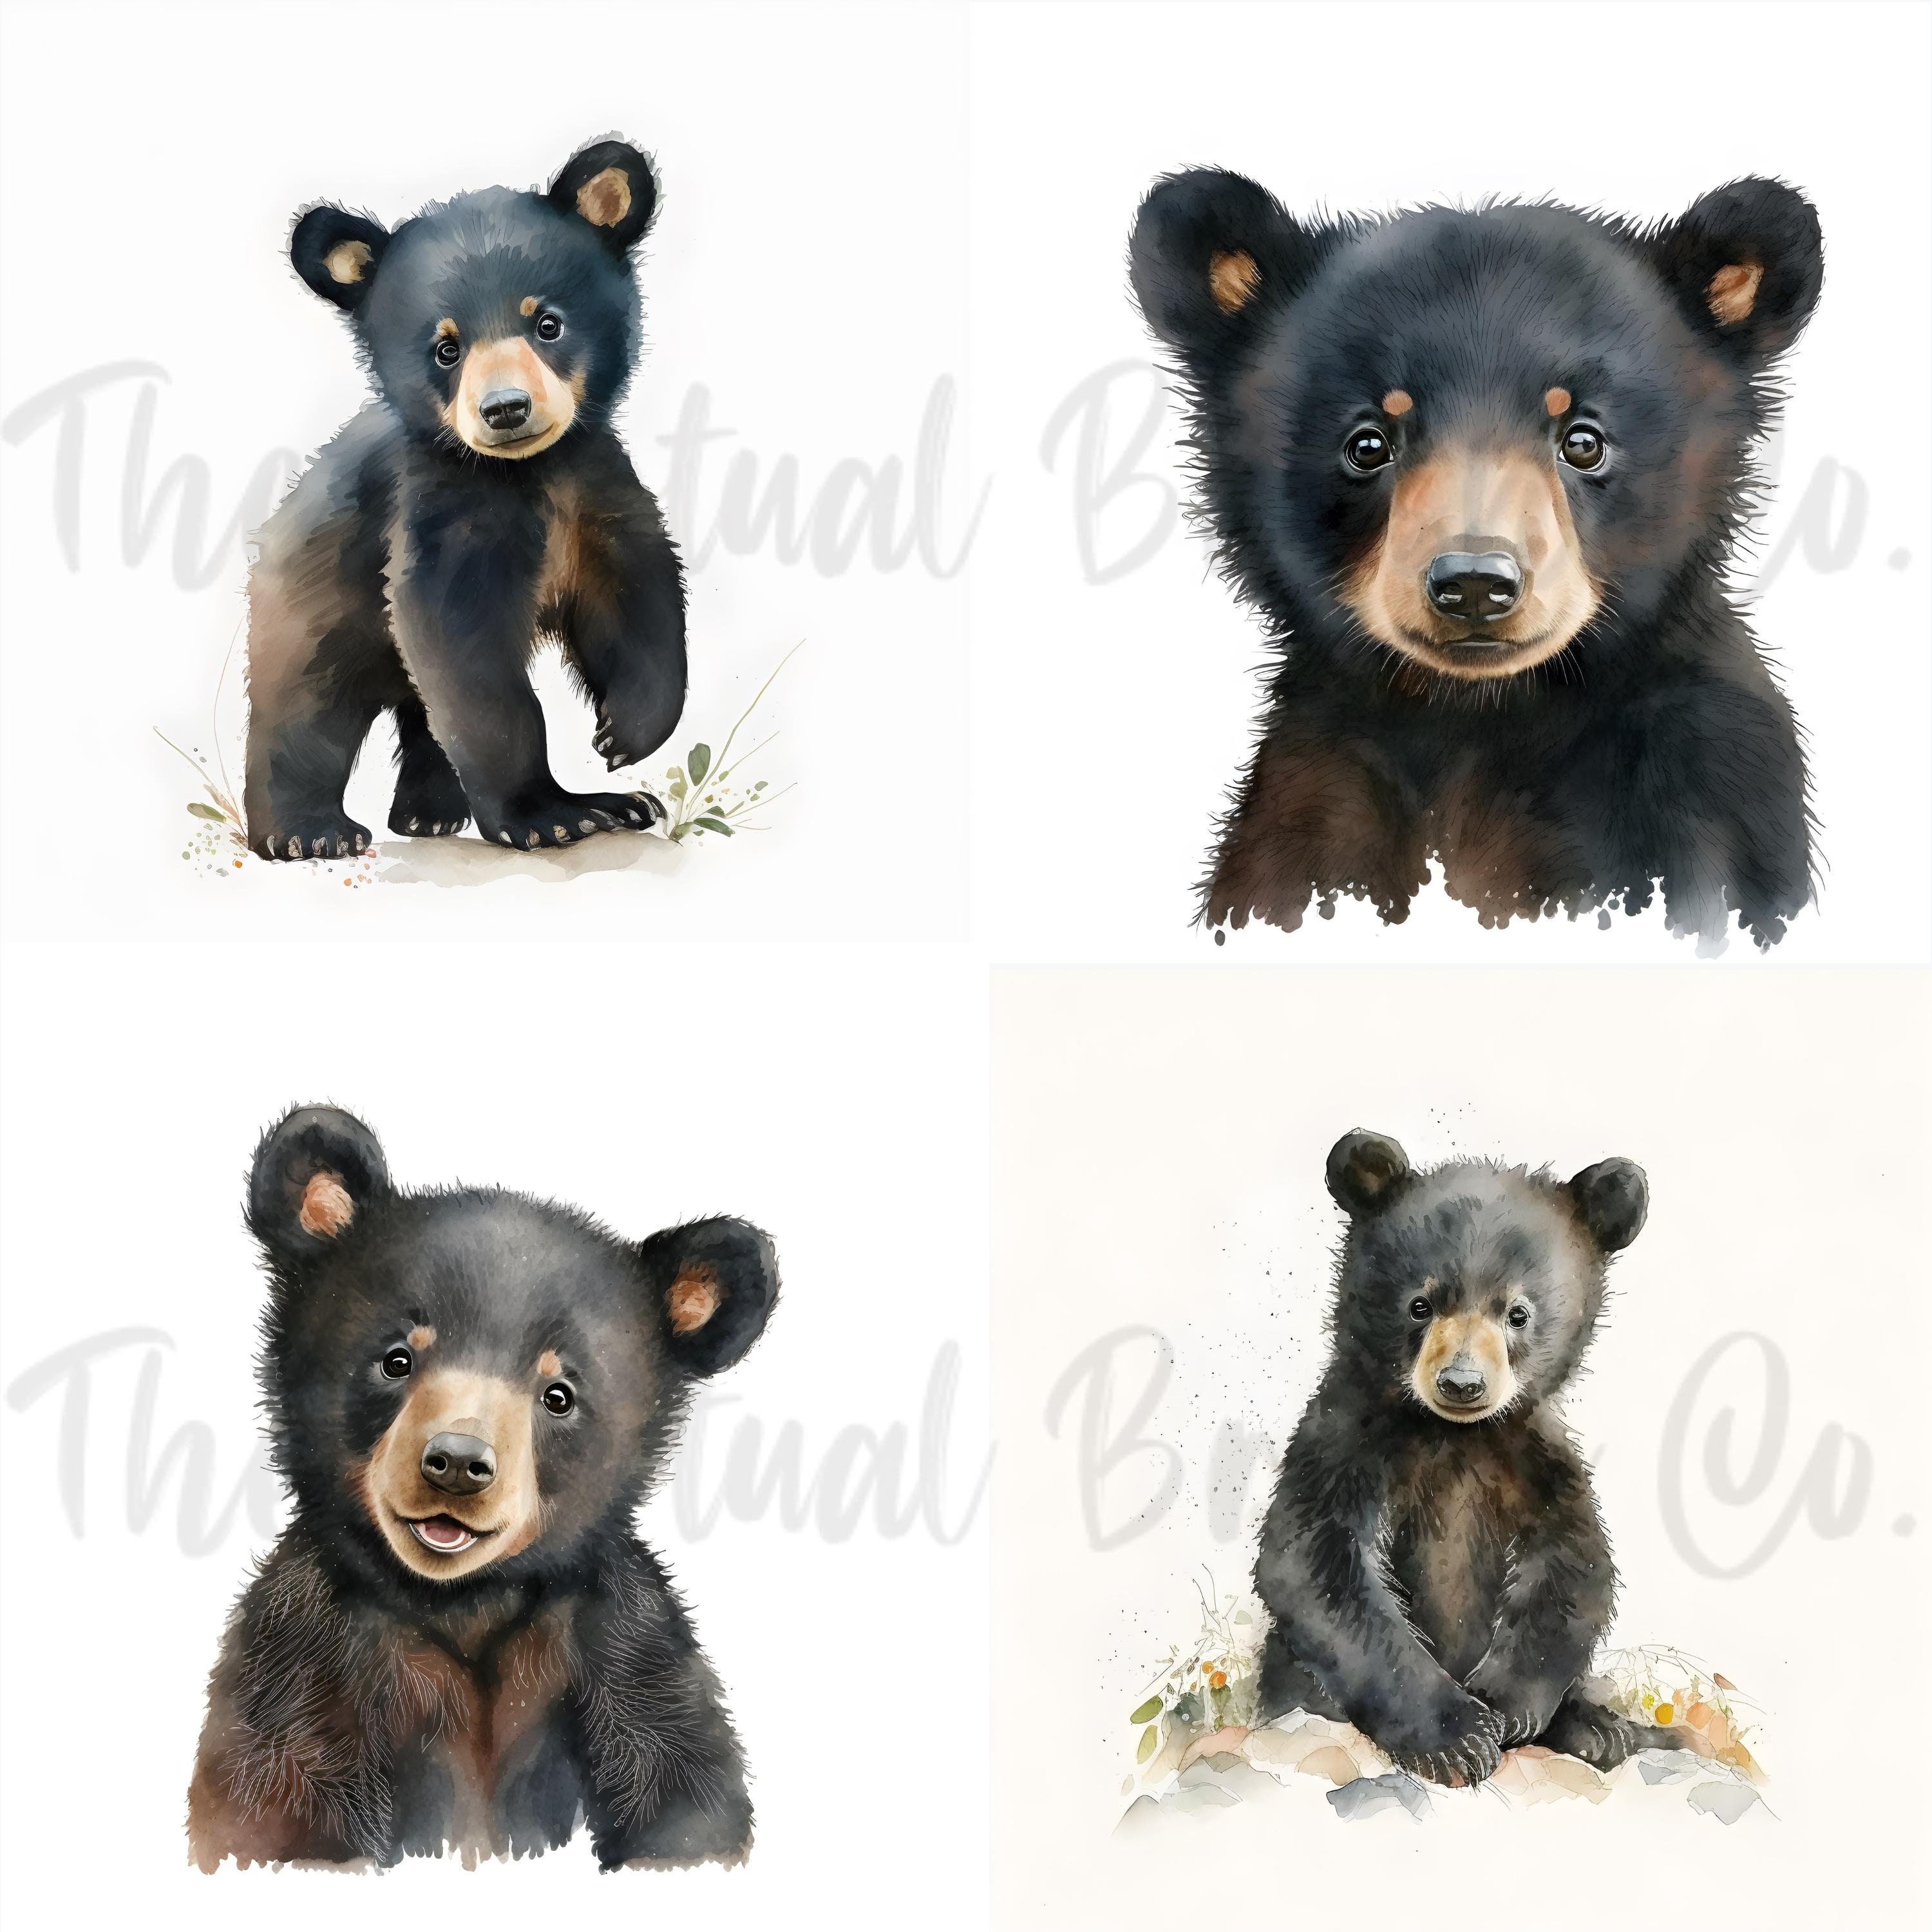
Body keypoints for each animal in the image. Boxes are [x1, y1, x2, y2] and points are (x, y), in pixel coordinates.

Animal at [187, 1105, 779, 1871]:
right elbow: (270, 1804)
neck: (463, 1608)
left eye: (559, 1394)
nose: (457, 1463)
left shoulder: (625, 1661)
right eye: (396, 1358)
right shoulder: (303, 1672)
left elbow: (684, 1798)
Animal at [244, 137, 686, 861]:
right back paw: (309, 832)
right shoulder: (438, 512)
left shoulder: (596, 490)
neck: (528, 474)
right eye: (446, 349)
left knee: (421, 716)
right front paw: (556, 814)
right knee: (307, 701)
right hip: (315, 590)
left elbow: (636, 596)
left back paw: (430, 813)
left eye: (548, 324)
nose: (506, 409)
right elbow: (462, 649)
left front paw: (624, 742)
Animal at [1128, 171, 1825, 949]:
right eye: (1367, 443)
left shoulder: (1704, 788)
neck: (1476, 717)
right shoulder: (1315, 787)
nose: (1473, 584)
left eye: (1584, 440)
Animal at [1251, 1130, 1650, 1787]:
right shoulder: (1347, 1438)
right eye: (1421, 1304)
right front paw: (1456, 1737)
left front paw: (1504, 1706)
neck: (1452, 1436)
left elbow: (1575, 1565)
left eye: (1518, 1313)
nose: (1462, 1384)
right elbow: (1317, 1563)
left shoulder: (1533, 1453)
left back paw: (1597, 1728)